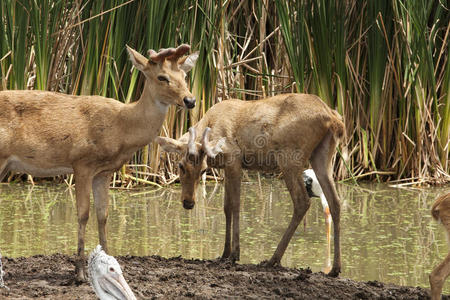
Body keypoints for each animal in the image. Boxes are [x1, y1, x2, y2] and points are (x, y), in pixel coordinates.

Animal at [0, 44, 199, 282]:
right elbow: (83, 214)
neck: (122, 126)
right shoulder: (82, 162)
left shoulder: (104, 172)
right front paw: (80, 273)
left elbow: (103, 215)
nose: (190, 100)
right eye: (162, 77)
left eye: (184, 76)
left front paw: (110, 265)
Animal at [155, 94, 344, 276]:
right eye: (181, 166)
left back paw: (273, 259)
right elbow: (226, 207)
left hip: (290, 157)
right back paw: (335, 269)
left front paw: (234, 254)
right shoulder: (226, 167)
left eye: (203, 170)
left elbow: (235, 205)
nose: (188, 202)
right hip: (322, 155)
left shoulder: (234, 159)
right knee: (335, 201)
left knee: (302, 201)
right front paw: (224, 253)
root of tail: (334, 119)